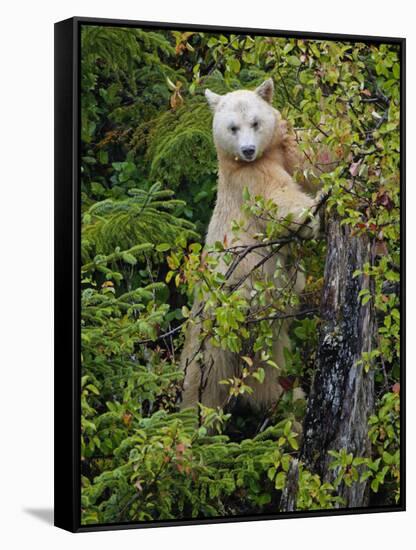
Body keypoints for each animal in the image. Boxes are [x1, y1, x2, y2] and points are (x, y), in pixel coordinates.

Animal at [179, 80, 318, 416]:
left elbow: (312, 155)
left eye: (255, 122)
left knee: (277, 383)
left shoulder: (282, 148)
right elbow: (276, 196)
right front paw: (309, 218)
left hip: (269, 352)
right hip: (210, 340)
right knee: (199, 389)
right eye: (232, 127)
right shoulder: (247, 177)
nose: (248, 149)